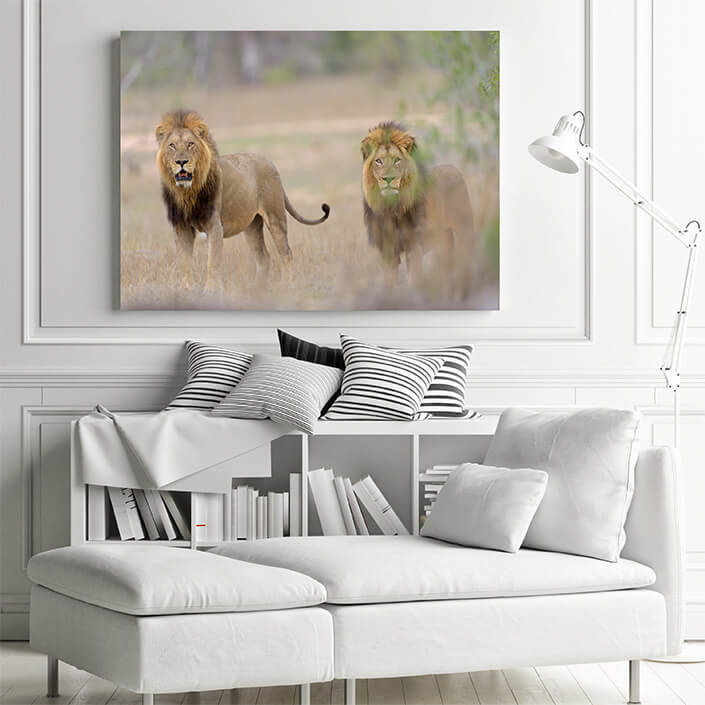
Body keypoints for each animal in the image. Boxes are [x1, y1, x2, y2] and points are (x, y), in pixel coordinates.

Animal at [155, 110, 330, 289]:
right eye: (172, 146)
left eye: (190, 144)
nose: (181, 162)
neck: (187, 192)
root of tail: (270, 162)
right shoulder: (181, 227)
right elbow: (185, 262)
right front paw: (187, 288)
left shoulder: (214, 226)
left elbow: (212, 262)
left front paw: (210, 289)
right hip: (252, 226)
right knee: (263, 257)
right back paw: (257, 288)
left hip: (275, 218)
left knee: (286, 253)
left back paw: (287, 285)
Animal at [361, 121, 478, 290]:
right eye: (379, 161)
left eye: (397, 160)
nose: (388, 179)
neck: (392, 207)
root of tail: (453, 168)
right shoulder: (388, 253)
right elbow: (390, 285)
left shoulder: (414, 248)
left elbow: (413, 282)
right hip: (444, 239)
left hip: (464, 228)